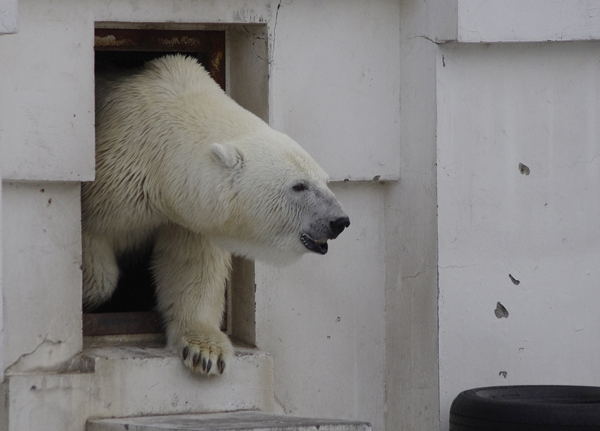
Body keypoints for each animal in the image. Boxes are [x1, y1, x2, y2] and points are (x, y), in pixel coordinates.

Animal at [82, 55, 350, 376]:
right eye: (299, 185)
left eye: (325, 181)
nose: (339, 221)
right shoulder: (115, 179)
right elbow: (94, 243)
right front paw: (88, 295)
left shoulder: (191, 214)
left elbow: (191, 266)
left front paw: (204, 351)